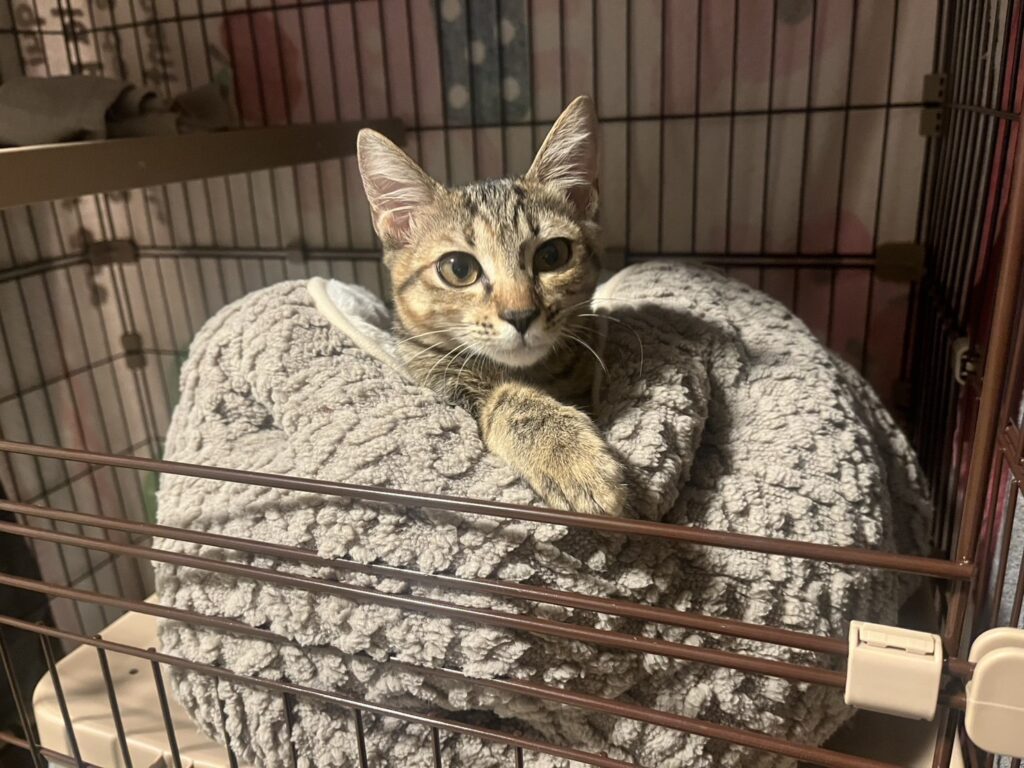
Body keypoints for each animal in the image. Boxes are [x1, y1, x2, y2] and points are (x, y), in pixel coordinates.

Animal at [356, 96, 626, 517]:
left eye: (552, 255)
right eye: (458, 268)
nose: (520, 315)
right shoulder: (440, 382)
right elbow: (504, 398)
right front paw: (570, 455)